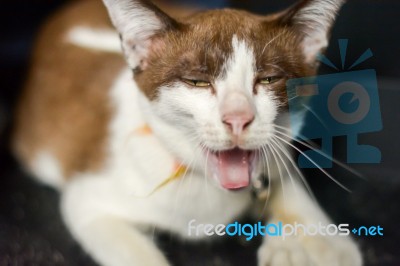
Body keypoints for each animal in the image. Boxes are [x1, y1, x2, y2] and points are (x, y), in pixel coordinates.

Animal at [12, 0, 362, 264]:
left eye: (268, 79)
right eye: (197, 82)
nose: (238, 118)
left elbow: (285, 181)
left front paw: (322, 243)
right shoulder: (87, 202)